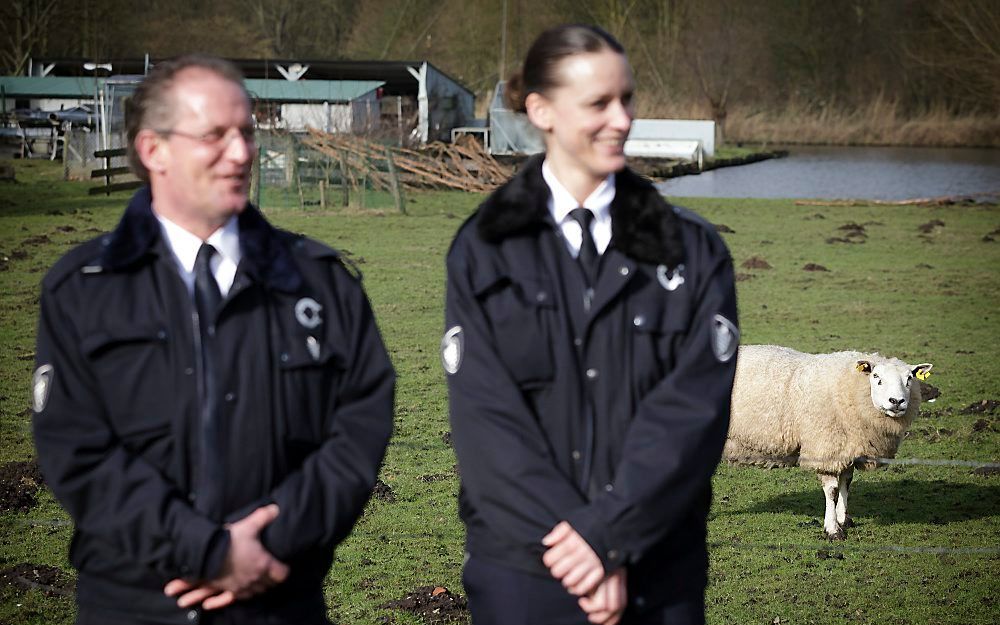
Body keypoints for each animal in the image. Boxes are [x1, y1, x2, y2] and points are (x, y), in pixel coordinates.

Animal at [728, 344, 928, 540]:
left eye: (909, 378)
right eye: (876, 376)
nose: (896, 401)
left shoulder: (848, 449)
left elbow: (846, 483)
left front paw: (844, 519)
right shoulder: (825, 448)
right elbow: (832, 491)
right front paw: (833, 529)